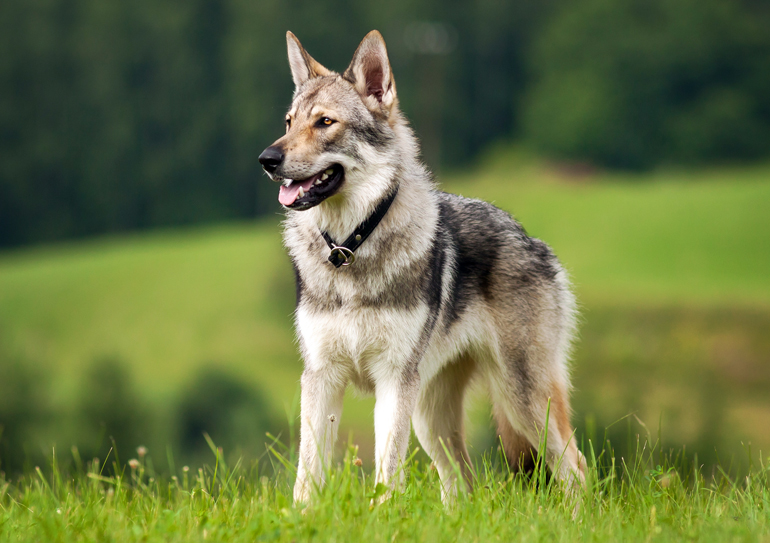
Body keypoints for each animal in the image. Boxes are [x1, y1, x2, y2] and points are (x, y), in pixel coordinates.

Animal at [258, 30, 586, 504]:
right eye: (288, 123)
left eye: (325, 123)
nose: (267, 158)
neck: (350, 249)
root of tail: (532, 239)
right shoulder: (321, 377)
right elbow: (308, 473)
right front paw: (302, 516)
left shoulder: (394, 380)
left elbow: (387, 470)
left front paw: (381, 514)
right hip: (433, 421)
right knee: (463, 485)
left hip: (520, 400)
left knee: (576, 468)